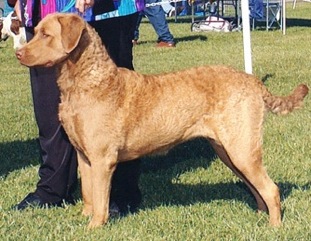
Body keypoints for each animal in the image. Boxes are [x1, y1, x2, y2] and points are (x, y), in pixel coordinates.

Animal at [16, 12, 310, 228]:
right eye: (36, 30)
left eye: (46, 34)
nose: (19, 53)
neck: (88, 81)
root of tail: (254, 82)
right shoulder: (84, 156)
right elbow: (89, 193)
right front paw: (83, 219)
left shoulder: (102, 158)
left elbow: (100, 198)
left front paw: (94, 228)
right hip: (228, 150)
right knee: (256, 186)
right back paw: (261, 217)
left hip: (241, 147)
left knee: (271, 188)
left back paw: (274, 226)